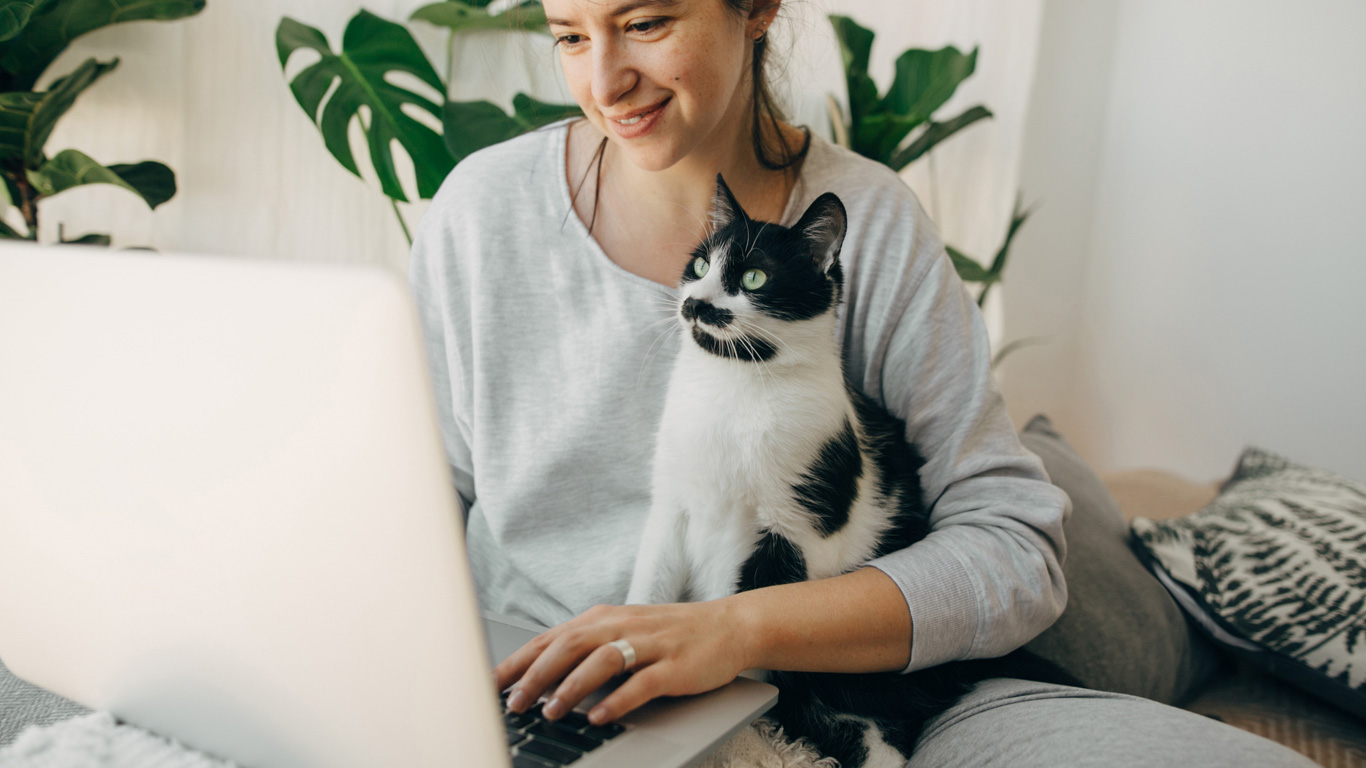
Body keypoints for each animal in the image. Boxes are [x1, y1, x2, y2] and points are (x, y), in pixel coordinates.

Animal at [625, 174, 1076, 765]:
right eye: (699, 265)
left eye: (753, 277)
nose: (696, 302)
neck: (734, 386)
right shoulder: (673, 503)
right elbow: (650, 586)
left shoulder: (793, 531)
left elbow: (739, 617)